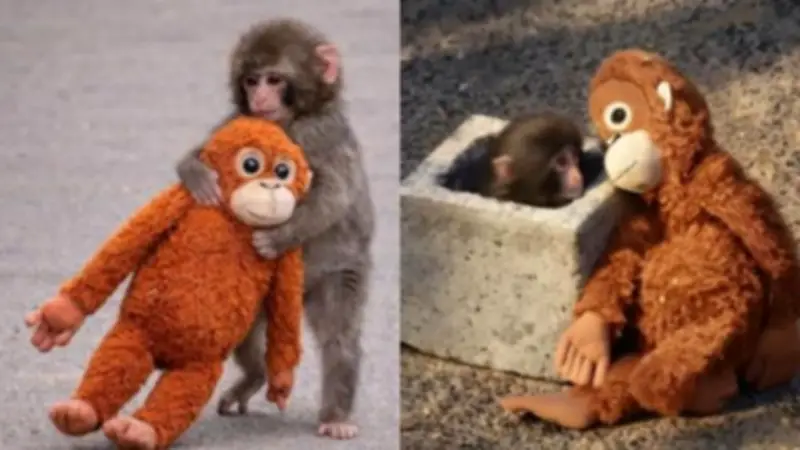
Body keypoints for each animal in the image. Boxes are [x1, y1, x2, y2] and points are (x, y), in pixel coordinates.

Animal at [174, 19, 374, 440]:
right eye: (251, 80)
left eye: (274, 79)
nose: (259, 97)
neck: (290, 121)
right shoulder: (240, 122)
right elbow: (205, 151)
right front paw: (198, 174)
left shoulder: (322, 132)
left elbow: (333, 194)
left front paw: (276, 237)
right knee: (245, 328)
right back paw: (255, 376)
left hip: (337, 273)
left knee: (339, 336)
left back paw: (336, 415)